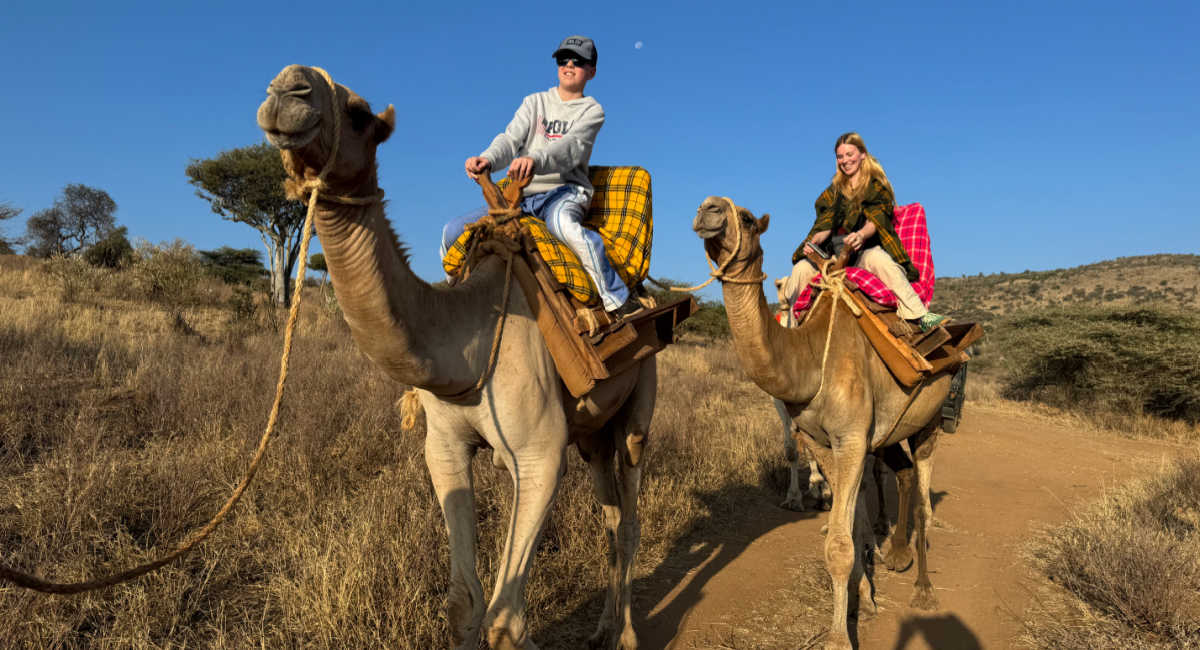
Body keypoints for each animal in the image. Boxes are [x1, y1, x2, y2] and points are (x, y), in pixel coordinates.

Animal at [257, 64, 652, 650]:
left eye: (359, 113)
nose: (287, 89)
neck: (466, 339)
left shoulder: (539, 453)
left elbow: (506, 619)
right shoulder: (444, 446)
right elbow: (463, 604)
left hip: (640, 400)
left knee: (628, 518)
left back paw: (625, 635)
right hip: (591, 430)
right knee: (609, 513)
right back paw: (602, 628)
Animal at [693, 197, 951, 650]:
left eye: (746, 218)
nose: (709, 209)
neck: (811, 358)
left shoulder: (851, 439)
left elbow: (842, 545)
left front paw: (838, 638)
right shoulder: (824, 441)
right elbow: (849, 527)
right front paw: (865, 599)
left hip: (930, 418)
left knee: (923, 498)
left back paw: (923, 589)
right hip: (891, 431)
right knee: (901, 477)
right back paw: (897, 554)